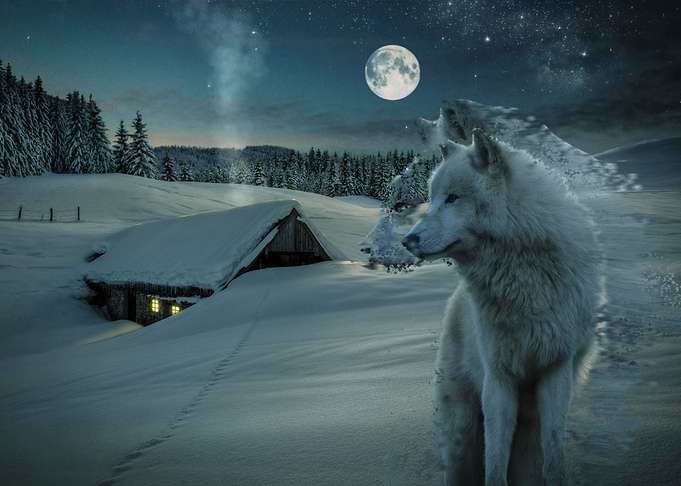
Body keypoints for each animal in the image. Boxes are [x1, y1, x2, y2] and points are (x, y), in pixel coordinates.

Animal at [401, 129, 604, 486]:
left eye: (452, 198)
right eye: (433, 198)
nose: (407, 241)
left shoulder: (557, 370)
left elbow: (554, 456)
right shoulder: (497, 378)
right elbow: (494, 464)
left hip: (528, 428)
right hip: (464, 426)